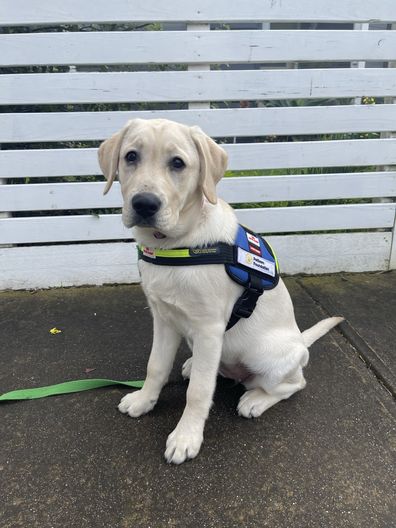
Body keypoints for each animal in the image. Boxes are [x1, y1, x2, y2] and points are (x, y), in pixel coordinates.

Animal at [97, 118, 342, 462]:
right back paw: (193, 365)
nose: (144, 204)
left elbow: (199, 391)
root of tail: (300, 341)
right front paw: (144, 400)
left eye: (178, 163)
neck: (175, 245)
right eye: (131, 156)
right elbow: (156, 366)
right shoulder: (164, 318)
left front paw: (186, 437)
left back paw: (255, 399)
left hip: (265, 353)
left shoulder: (210, 328)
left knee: (294, 383)